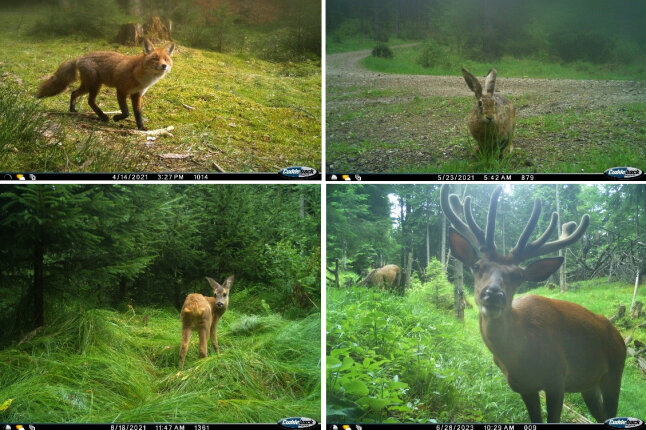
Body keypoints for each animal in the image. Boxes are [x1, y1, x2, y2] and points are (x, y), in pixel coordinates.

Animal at [37, 38, 175, 129]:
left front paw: (141, 127)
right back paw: (103, 117)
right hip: (94, 85)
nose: (164, 66)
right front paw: (116, 118)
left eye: (166, 59)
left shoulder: (137, 94)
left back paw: (72, 109)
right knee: (90, 101)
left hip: (88, 86)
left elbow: (138, 113)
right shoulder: (121, 90)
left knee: (74, 92)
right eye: (155, 58)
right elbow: (126, 112)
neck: (142, 78)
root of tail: (80, 58)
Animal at [440, 186, 628, 424]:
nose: (493, 294)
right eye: (477, 266)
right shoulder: (523, 386)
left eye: (518, 276)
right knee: (602, 415)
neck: (521, 358)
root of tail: (619, 335)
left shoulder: (557, 378)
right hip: (589, 383)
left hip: (615, 371)